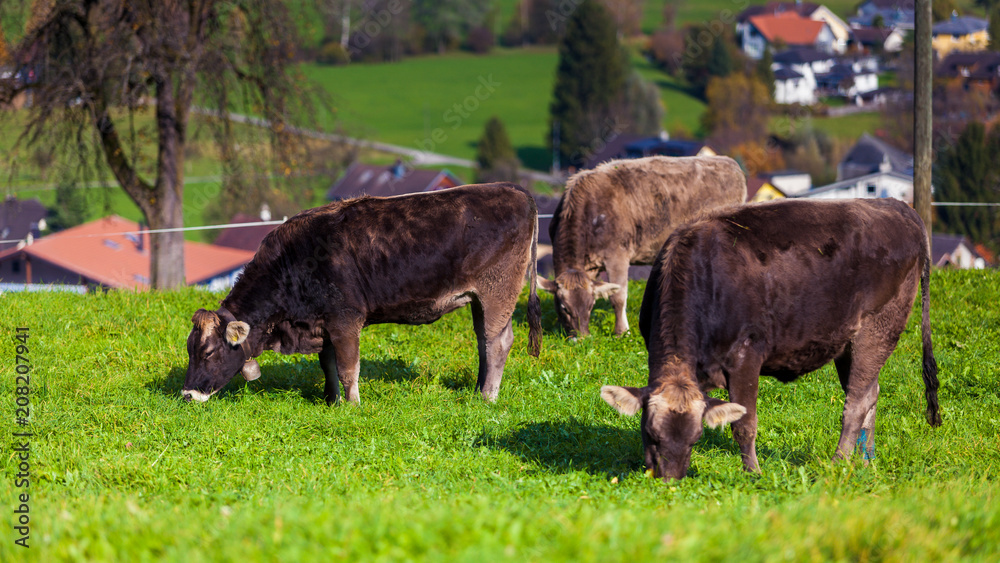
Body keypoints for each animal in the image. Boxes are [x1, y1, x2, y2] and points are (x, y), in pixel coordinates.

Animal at [181, 183, 541, 405]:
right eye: (189, 350)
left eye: (209, 353)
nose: (186, 394)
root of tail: (514, 190)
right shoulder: (323, 322)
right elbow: (327, 364)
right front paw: (331, 401)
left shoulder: (345, 319)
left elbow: (347, 367)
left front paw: (352, 405)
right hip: (480, 299)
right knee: (483, 341)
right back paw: (478, 389)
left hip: (499, 290)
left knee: (497, 342)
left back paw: (487, 397)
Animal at [538, 155, 746, 338]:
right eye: (564, 307)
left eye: (590, 306)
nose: (581, 338)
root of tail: (730, 163)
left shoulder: (617, 255)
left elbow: (618, 296)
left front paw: (622, 332)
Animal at [600, 198, 941, 481]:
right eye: (650, 433)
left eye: (696, 438)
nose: (669, 480)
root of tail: (899, 206)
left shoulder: (746, 356)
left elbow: (744, 424)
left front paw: (754, 474)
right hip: (849, 343)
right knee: (871, 393)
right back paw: (866, 462)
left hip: (879, 327)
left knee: (856, 403)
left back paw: (838, 463)